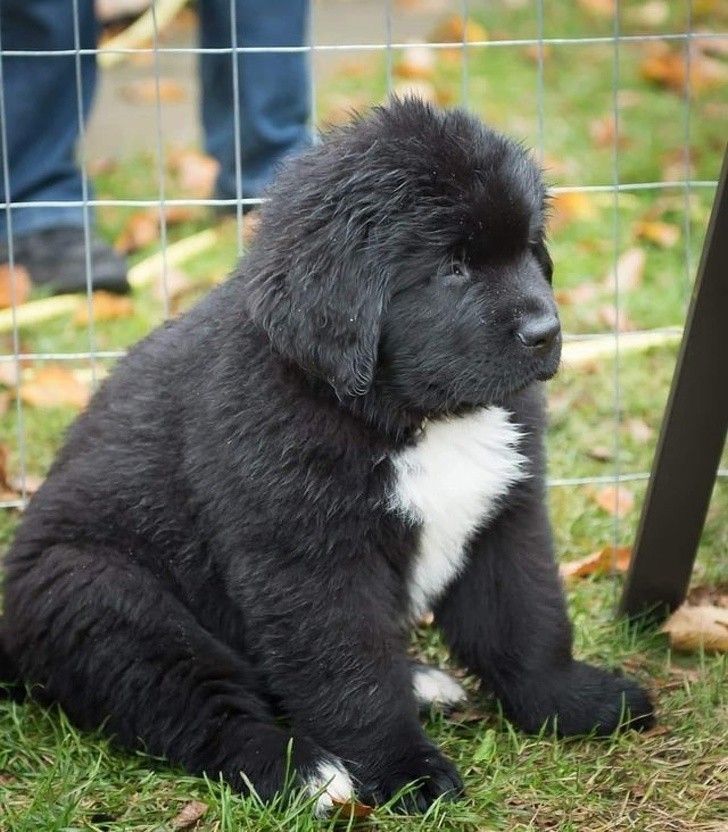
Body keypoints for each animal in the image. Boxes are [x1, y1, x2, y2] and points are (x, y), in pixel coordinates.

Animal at [0, 97, 652, 812]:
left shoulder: (504, 516)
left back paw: (420, 682)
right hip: (105, 597)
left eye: (529, 249)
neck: (413, 416)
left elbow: (525, 621)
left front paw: (574, 703)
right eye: (452, 268)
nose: (546, 332)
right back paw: (304, 772)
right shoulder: (310, 560)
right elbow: (351, 676)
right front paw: (405, 771)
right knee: (200, 708)